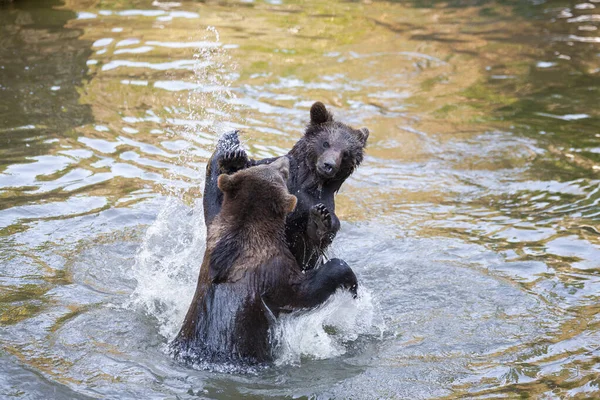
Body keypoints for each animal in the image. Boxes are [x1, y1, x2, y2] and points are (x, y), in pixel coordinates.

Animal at [173, 158, 360, 368]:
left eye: (272, 166)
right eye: (283, 173)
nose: (284, 160)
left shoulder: (215, 234)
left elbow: (213, 202)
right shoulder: (274, 271)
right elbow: (303, 292)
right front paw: (350, 283)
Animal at [204, 101, 368, 270]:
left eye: (345, 154)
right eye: (326, 143)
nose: (329, 165)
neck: (308, 181)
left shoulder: (318, 204)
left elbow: (314, 243)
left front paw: (320, 219)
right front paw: (233, 158)